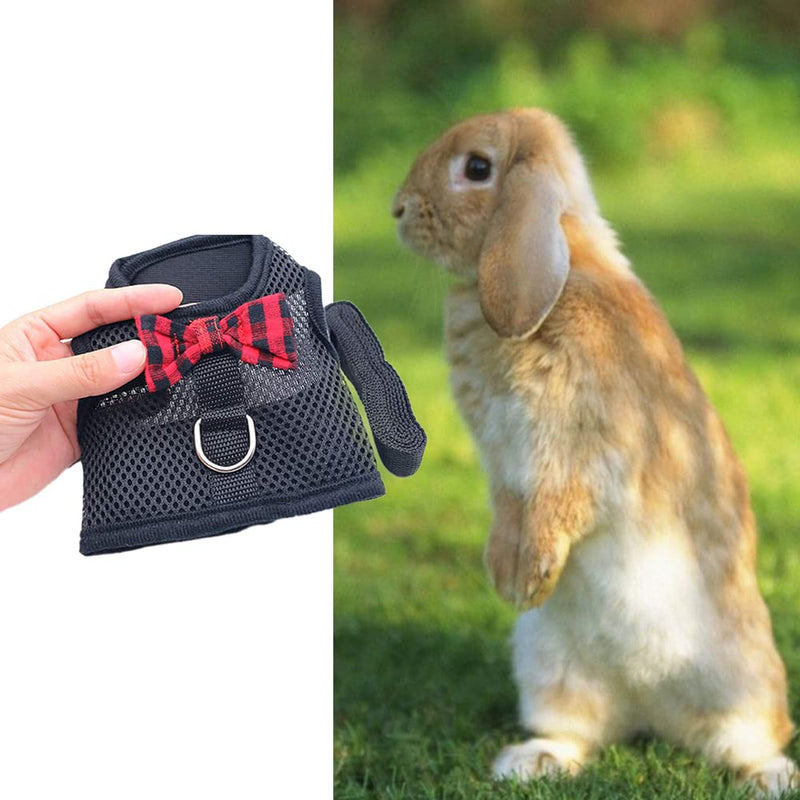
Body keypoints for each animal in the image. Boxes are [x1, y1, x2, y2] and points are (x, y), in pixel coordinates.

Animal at [392, 108, 797, 796]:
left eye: (477, 167)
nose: (398, 209)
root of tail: (648, 707)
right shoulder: (504, 462)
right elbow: (511, 507)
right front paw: (507, 574)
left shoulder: (582, 450)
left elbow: (560, 502)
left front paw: (528, 575)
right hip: (548, 667)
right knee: (578, 731)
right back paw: (531, 762)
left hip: (740, 678)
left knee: (749, 737)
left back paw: (771, 776)